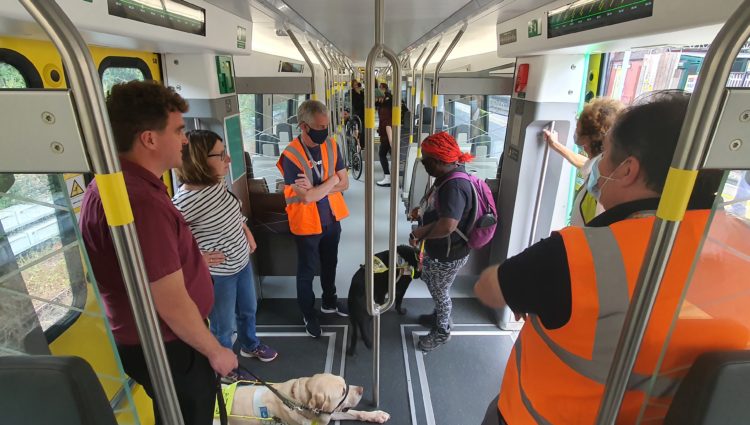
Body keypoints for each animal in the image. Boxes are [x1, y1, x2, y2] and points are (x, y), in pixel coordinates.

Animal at [212, 372, 388, 422]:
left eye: (344, 381)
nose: (361, 389)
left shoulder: (328, 413)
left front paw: (376, 415)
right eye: (343, 391)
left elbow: (354, 412)